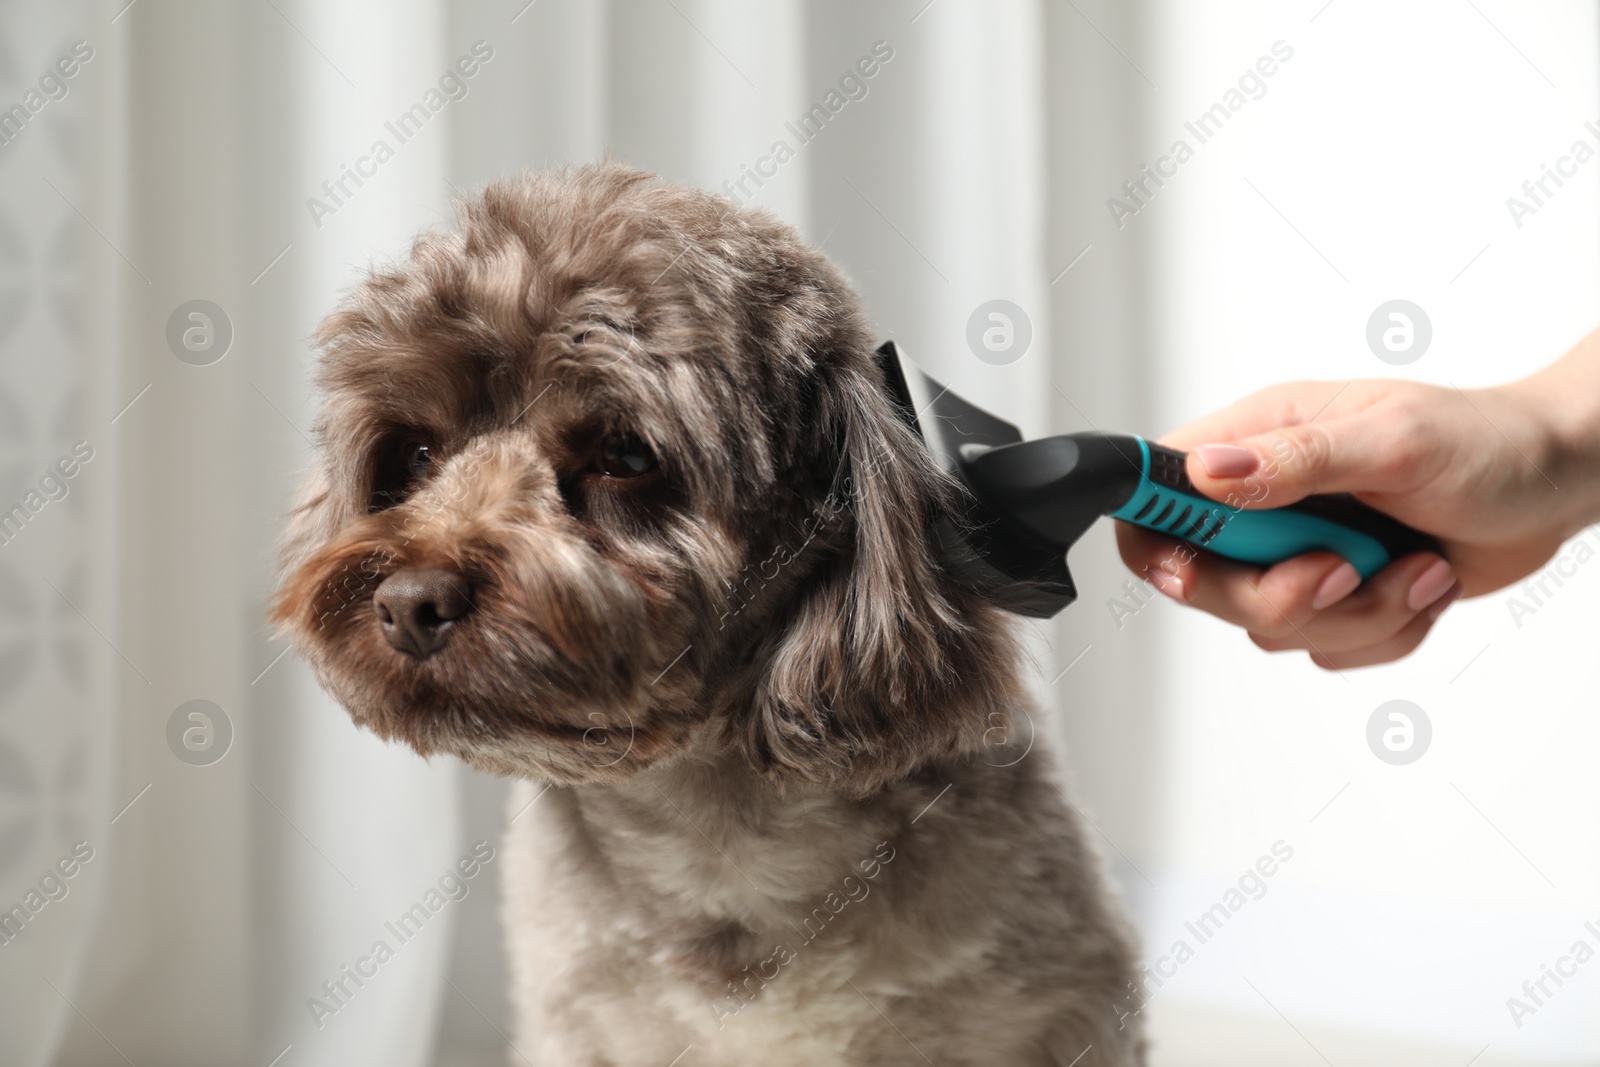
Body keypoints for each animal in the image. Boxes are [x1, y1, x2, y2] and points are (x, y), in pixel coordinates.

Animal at [278, 163, 1152, 1062]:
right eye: (416, 453)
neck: (719, 837)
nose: (408, 603)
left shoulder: (1056, 1018)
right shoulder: (571, 1024)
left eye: (625, 453)